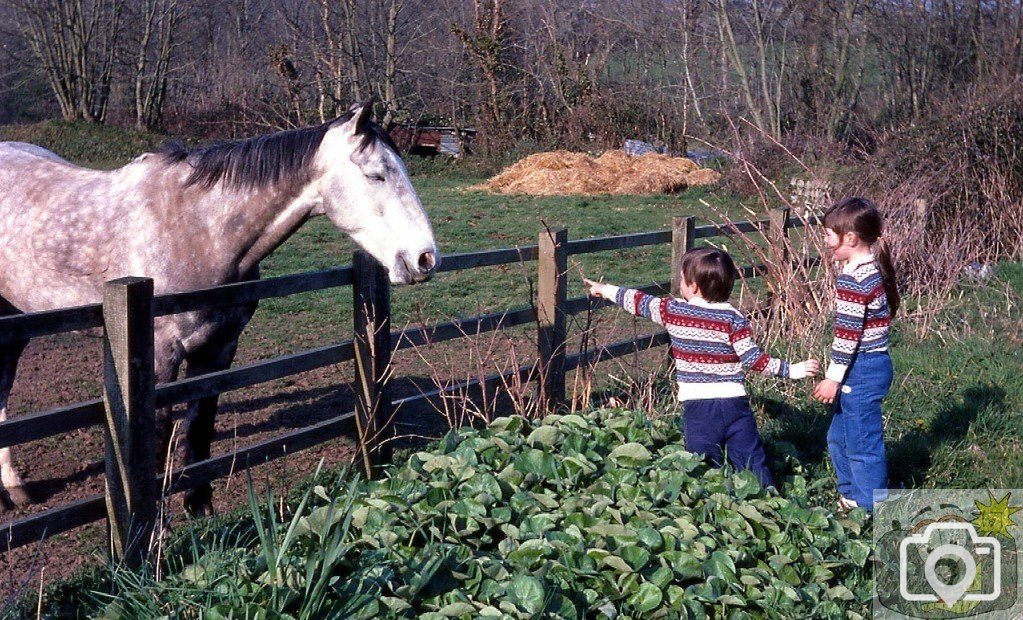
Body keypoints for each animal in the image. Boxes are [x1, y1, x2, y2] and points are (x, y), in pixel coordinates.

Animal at [0, 102, 435, 517]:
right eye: (376, 175)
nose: (426, 258)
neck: (197, 230)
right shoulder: (159, 358)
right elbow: (157, 440)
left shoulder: (218, 348)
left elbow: (199, 427)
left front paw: (199, 507)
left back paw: (16, 489)